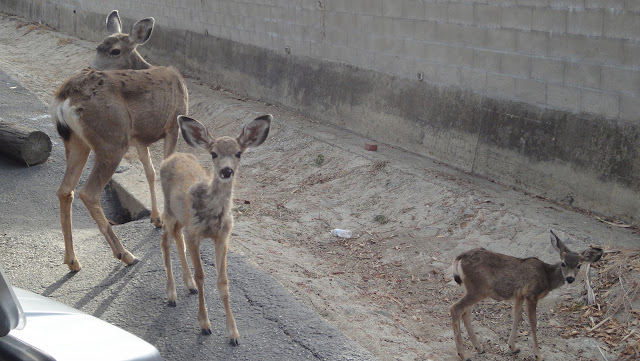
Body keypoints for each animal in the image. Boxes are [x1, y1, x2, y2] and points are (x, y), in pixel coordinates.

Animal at [51, 11, 186, 270]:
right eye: (97, 47)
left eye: (114, 51)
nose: (89, 66)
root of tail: (64, 98)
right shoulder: (173, 124)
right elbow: (164, 171)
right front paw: (166, 221)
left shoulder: (139, 139)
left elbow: (150, 172)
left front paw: (156, 218)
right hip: (112, 139)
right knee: (88, 193)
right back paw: (125, 254)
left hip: (76, 142)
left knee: (65, 190)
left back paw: (72, 260)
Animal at [161, 113, 272, 344]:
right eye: (213, 153)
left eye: (238, 153)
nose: (226, 170)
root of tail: (170, 157)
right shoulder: (195, 234)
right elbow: (202, 275)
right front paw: (204, 324)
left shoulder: (222, 237)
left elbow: (223, 281)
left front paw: (233, 333)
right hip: (168, 210)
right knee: (165, 241)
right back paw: (172, 294)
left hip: (181, 218)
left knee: (176, 237)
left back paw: (189, 286)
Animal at [448, 231, 604, 360]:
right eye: (563, 263)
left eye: (579, 265)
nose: (570, 279)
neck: (546, 278)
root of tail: (459, 258)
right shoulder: (531, 294)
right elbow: (533, 322)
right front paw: (538, 355)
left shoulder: (519, 295)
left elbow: (517, 317)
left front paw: (513, 347)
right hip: (479, 288)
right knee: (455, 308)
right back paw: (463, 354)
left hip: (473, 289)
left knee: (465, 312)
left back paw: (479, 348)